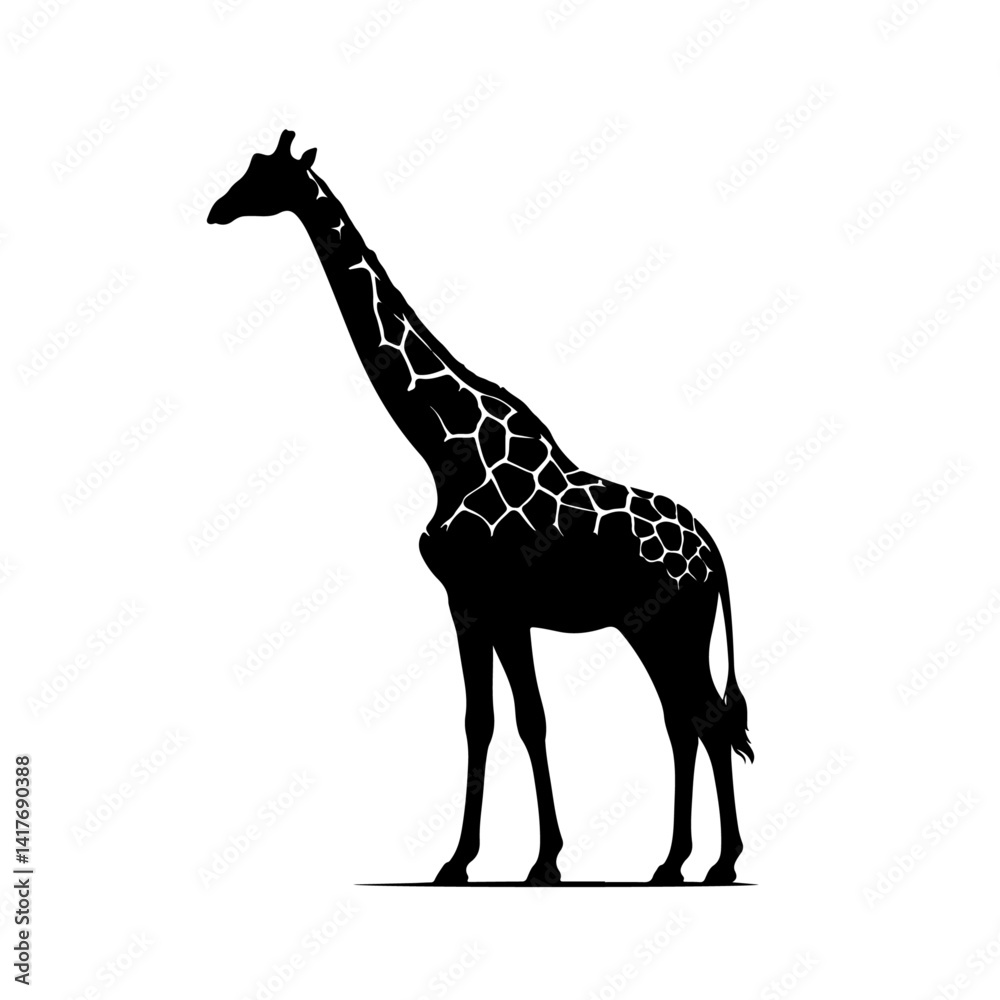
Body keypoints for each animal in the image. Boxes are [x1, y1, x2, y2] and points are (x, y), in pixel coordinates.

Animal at [208, 130, 753, 886]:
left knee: (705, 719)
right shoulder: (475, 605)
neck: (443, 448)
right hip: (655, 628)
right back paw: (675, 861)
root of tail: (714, 555)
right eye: (248, 169)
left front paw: (528, 861)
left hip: (672, 625)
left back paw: (718, 863)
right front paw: (478, 859)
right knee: (687, 721)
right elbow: (489, 721)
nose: (216, 210)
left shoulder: (491, 600)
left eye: (266, 177)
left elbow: (521, 721)